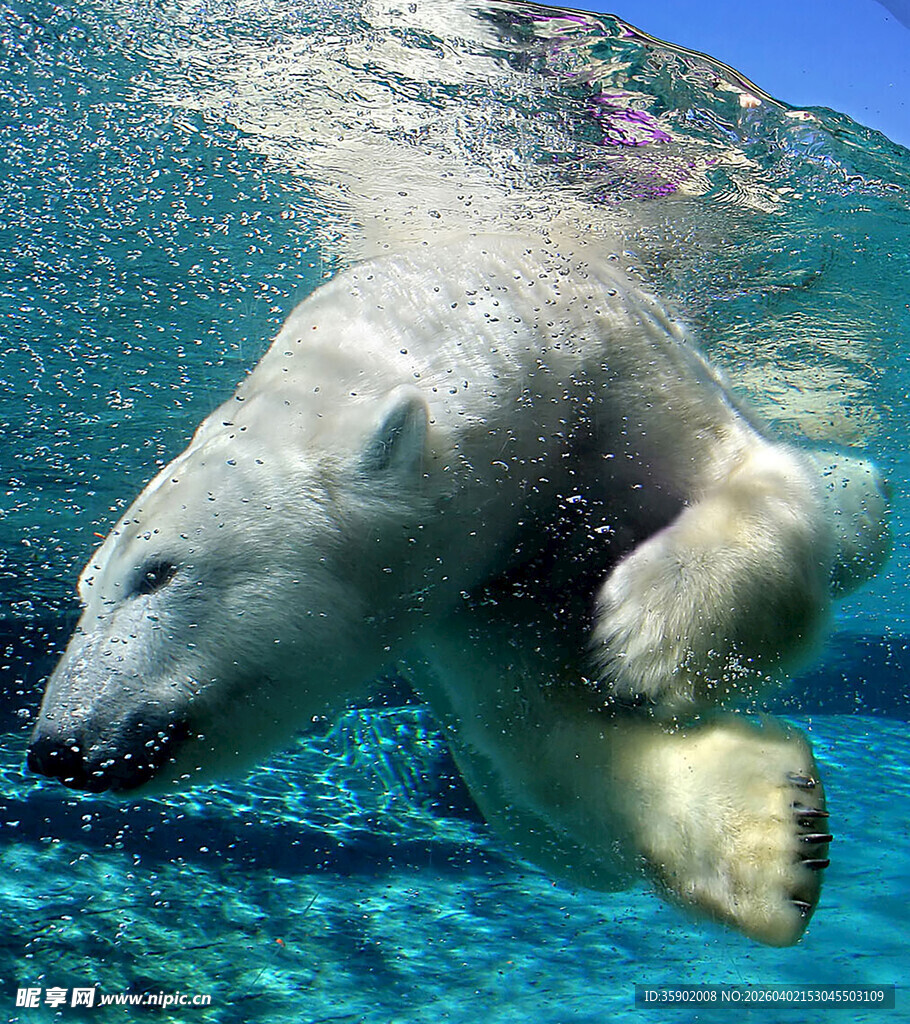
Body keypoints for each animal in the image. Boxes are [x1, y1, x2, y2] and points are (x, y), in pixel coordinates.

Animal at [28, 234, 889, 946]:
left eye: (157, 572)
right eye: (85, 590)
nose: (59, 746)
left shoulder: (618, 375)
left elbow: (748, 478)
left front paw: (649, 636)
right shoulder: (462, 600)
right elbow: (540, 732)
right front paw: (778, 833)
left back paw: (857, 491)